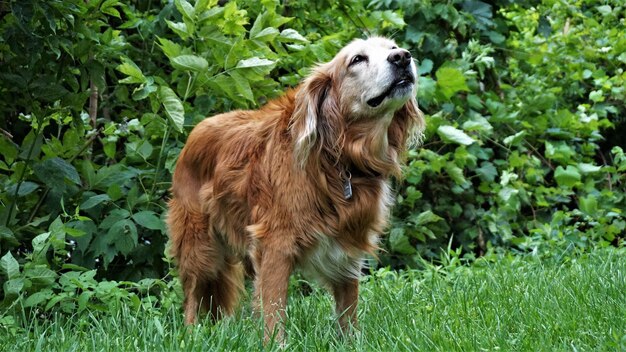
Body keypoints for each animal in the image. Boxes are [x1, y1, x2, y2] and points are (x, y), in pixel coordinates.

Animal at [166, 36, 422, 340]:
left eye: (392, 47)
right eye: (357, 59)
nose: (403, 57)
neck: (337, 157)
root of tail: (195, 132)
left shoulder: (349, 244)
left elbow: (348, 309)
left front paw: (350, 341)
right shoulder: (275, 245)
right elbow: (273, 310)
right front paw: (275, 344)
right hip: (199, 246)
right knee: (191, 296)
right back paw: (190, 335)